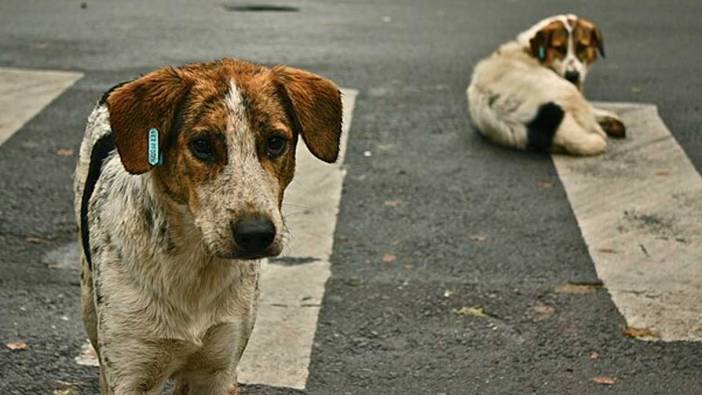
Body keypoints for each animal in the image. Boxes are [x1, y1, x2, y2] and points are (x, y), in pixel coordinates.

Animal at [73, 59, 344, 395]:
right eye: (201, 145)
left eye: (275, 142)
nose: (256, 234)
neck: (194, 264)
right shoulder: (130, 374)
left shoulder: (218, 369)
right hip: (89, 303)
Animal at [468, 13, 628, 156]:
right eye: (559, 48)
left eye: (582, 47)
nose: (572, 75)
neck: (529, 49)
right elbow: (592, 110)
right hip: (567, 90)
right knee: (590, 123)